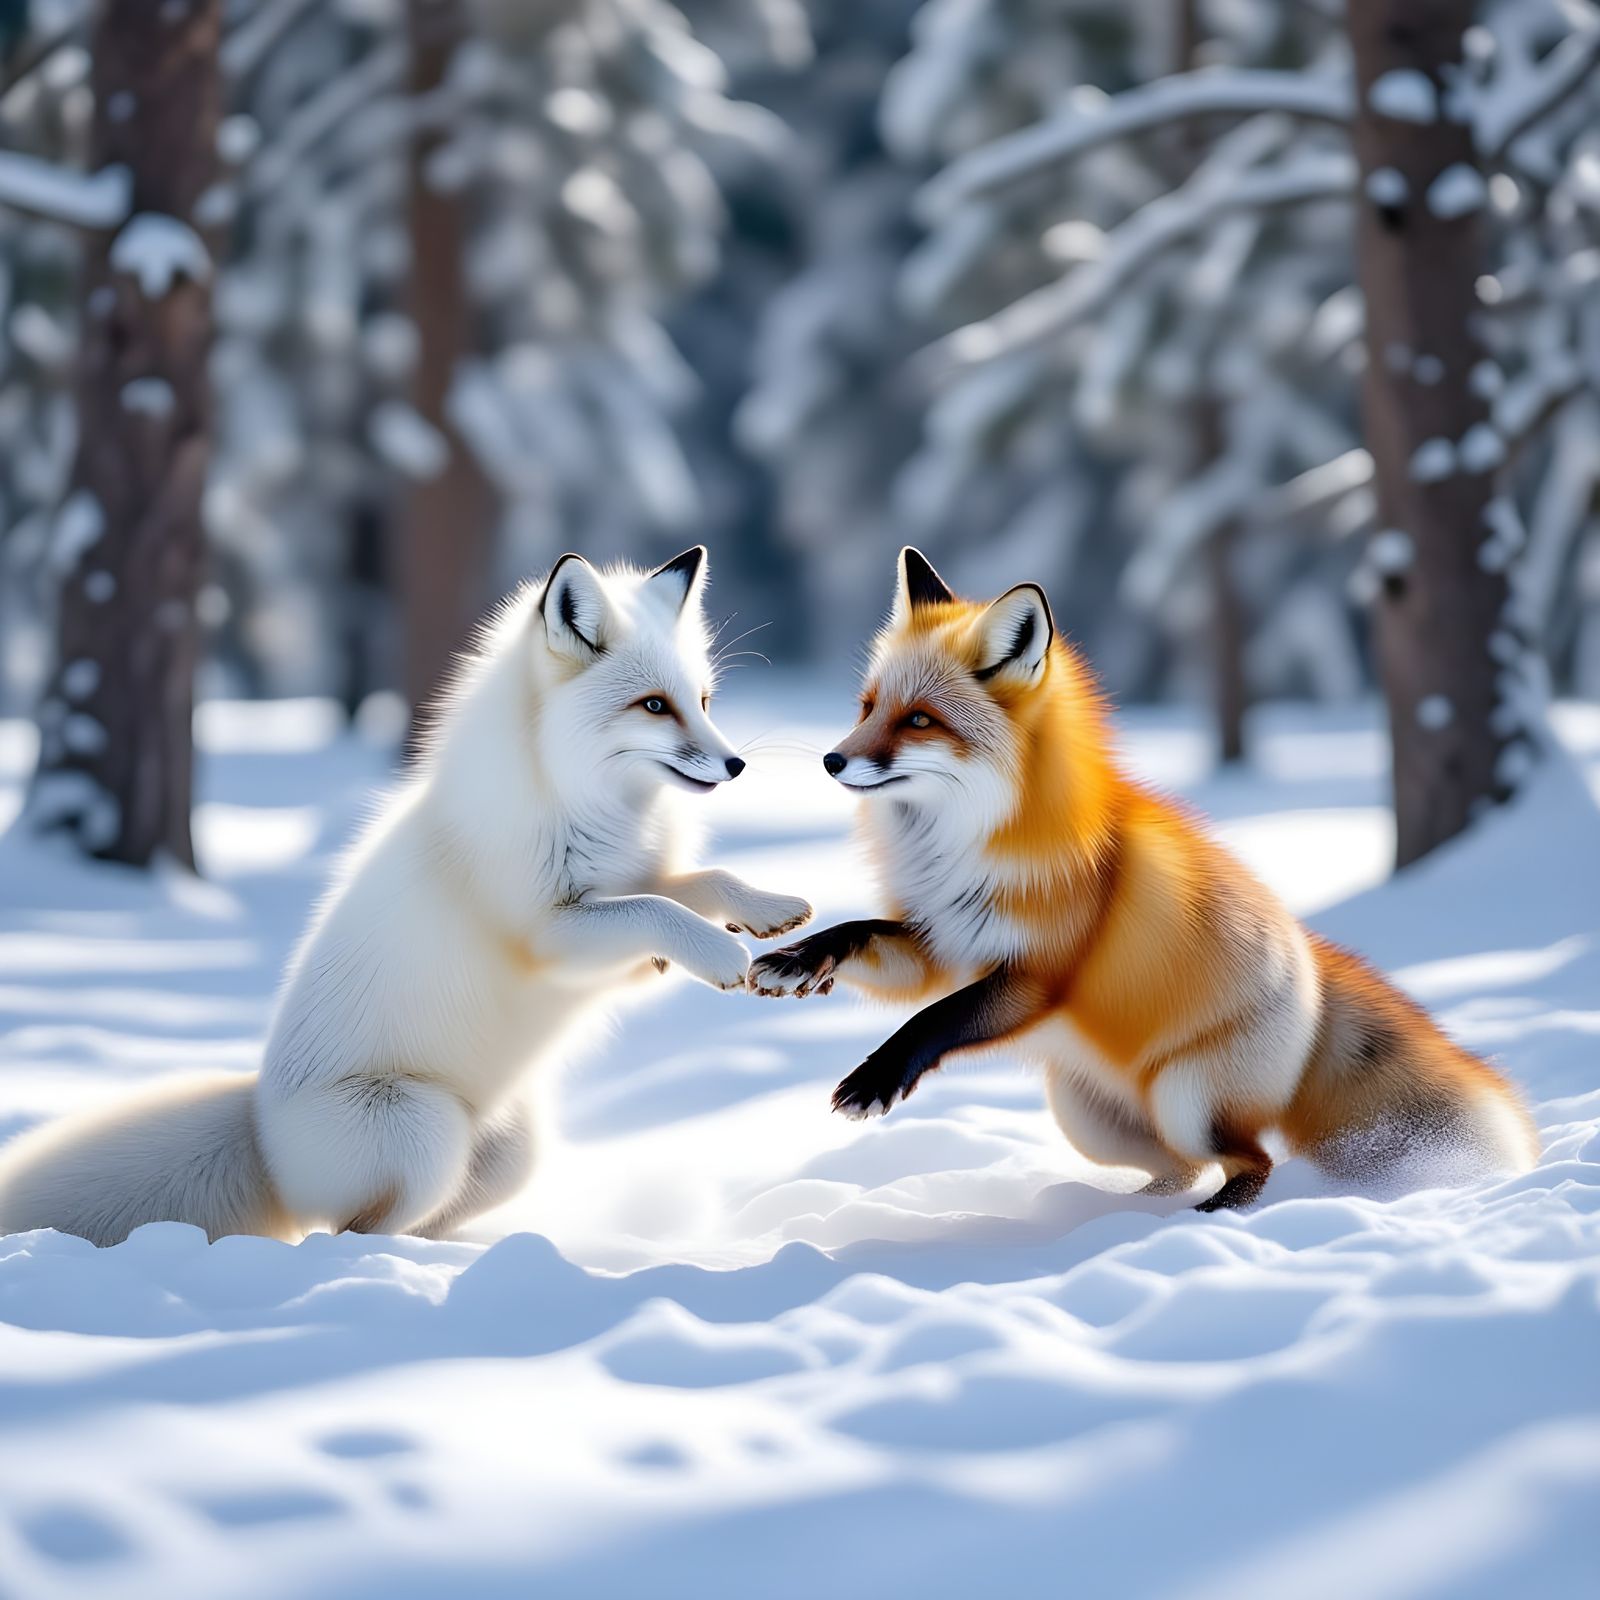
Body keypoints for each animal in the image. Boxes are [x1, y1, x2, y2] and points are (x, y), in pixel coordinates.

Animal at [0, 546, 812, 1247]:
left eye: (701, 700)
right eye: (653, 706)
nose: (736, 765)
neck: (592, 810)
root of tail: (261, 1127)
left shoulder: (626, 913)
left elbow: (699, 884)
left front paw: (768, 909)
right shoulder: (549, 936)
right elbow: (660, 910)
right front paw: (723, 954)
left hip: (509, 1156)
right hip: (425, 1131)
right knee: (343, 1234)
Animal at [749, 547, 1538, 1210]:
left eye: (919, 721)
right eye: (867, 707)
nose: (831, 760)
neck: (961, 847)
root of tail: (1313, 966)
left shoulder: (1038, 975)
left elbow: (931, 1020)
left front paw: (874, 1080)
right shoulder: (941, 943)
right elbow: (862, 935)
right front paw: (797, 961)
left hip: (1188, 1103)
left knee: (1252, 1162)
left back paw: (1203, 1220)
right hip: (1090, 1121)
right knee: (1181, 1169)